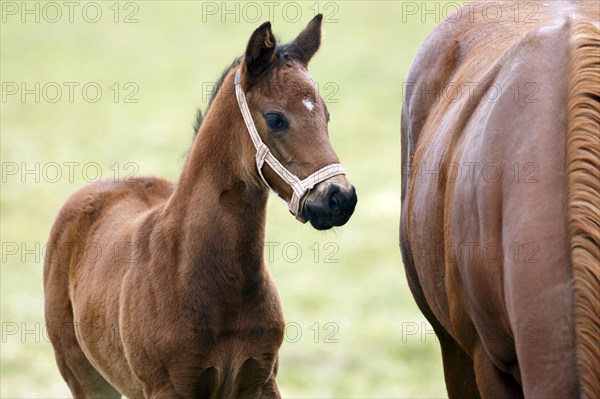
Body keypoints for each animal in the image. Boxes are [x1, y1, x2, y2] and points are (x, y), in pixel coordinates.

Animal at [45, 15, 356, 399]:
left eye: (326, 115)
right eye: (275, 118)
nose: (339, 198)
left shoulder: (261, 382)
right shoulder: (167, 388)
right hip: (82, 375)